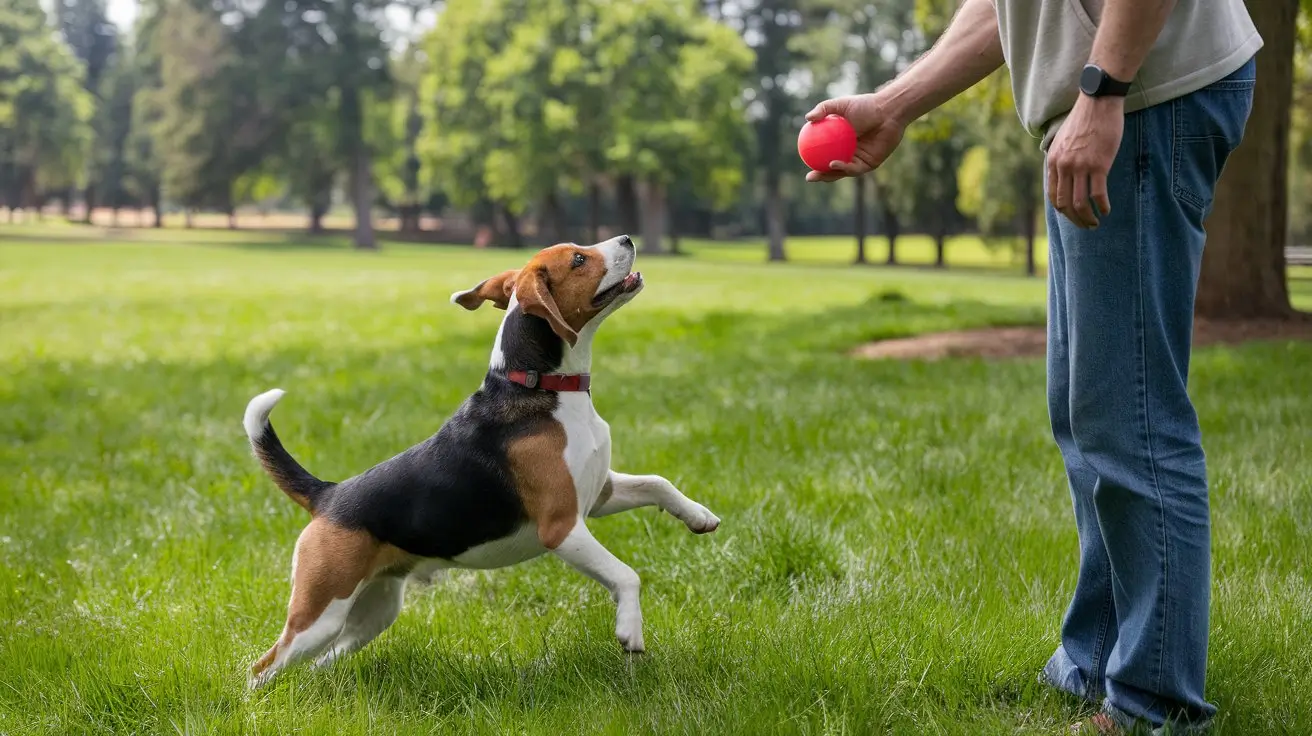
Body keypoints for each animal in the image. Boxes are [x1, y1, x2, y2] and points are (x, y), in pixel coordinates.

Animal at [241, 236, 724, 687]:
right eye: (578, 260)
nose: (626, 239)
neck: (542, 386)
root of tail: (329, 494)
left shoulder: (599, 493)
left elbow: (657, 482)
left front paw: (699, 516)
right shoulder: (562, 526)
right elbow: (626, 576)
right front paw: (630, 631)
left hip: (370, 614)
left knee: (320, 661)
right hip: (318, 614)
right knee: (262, 668)